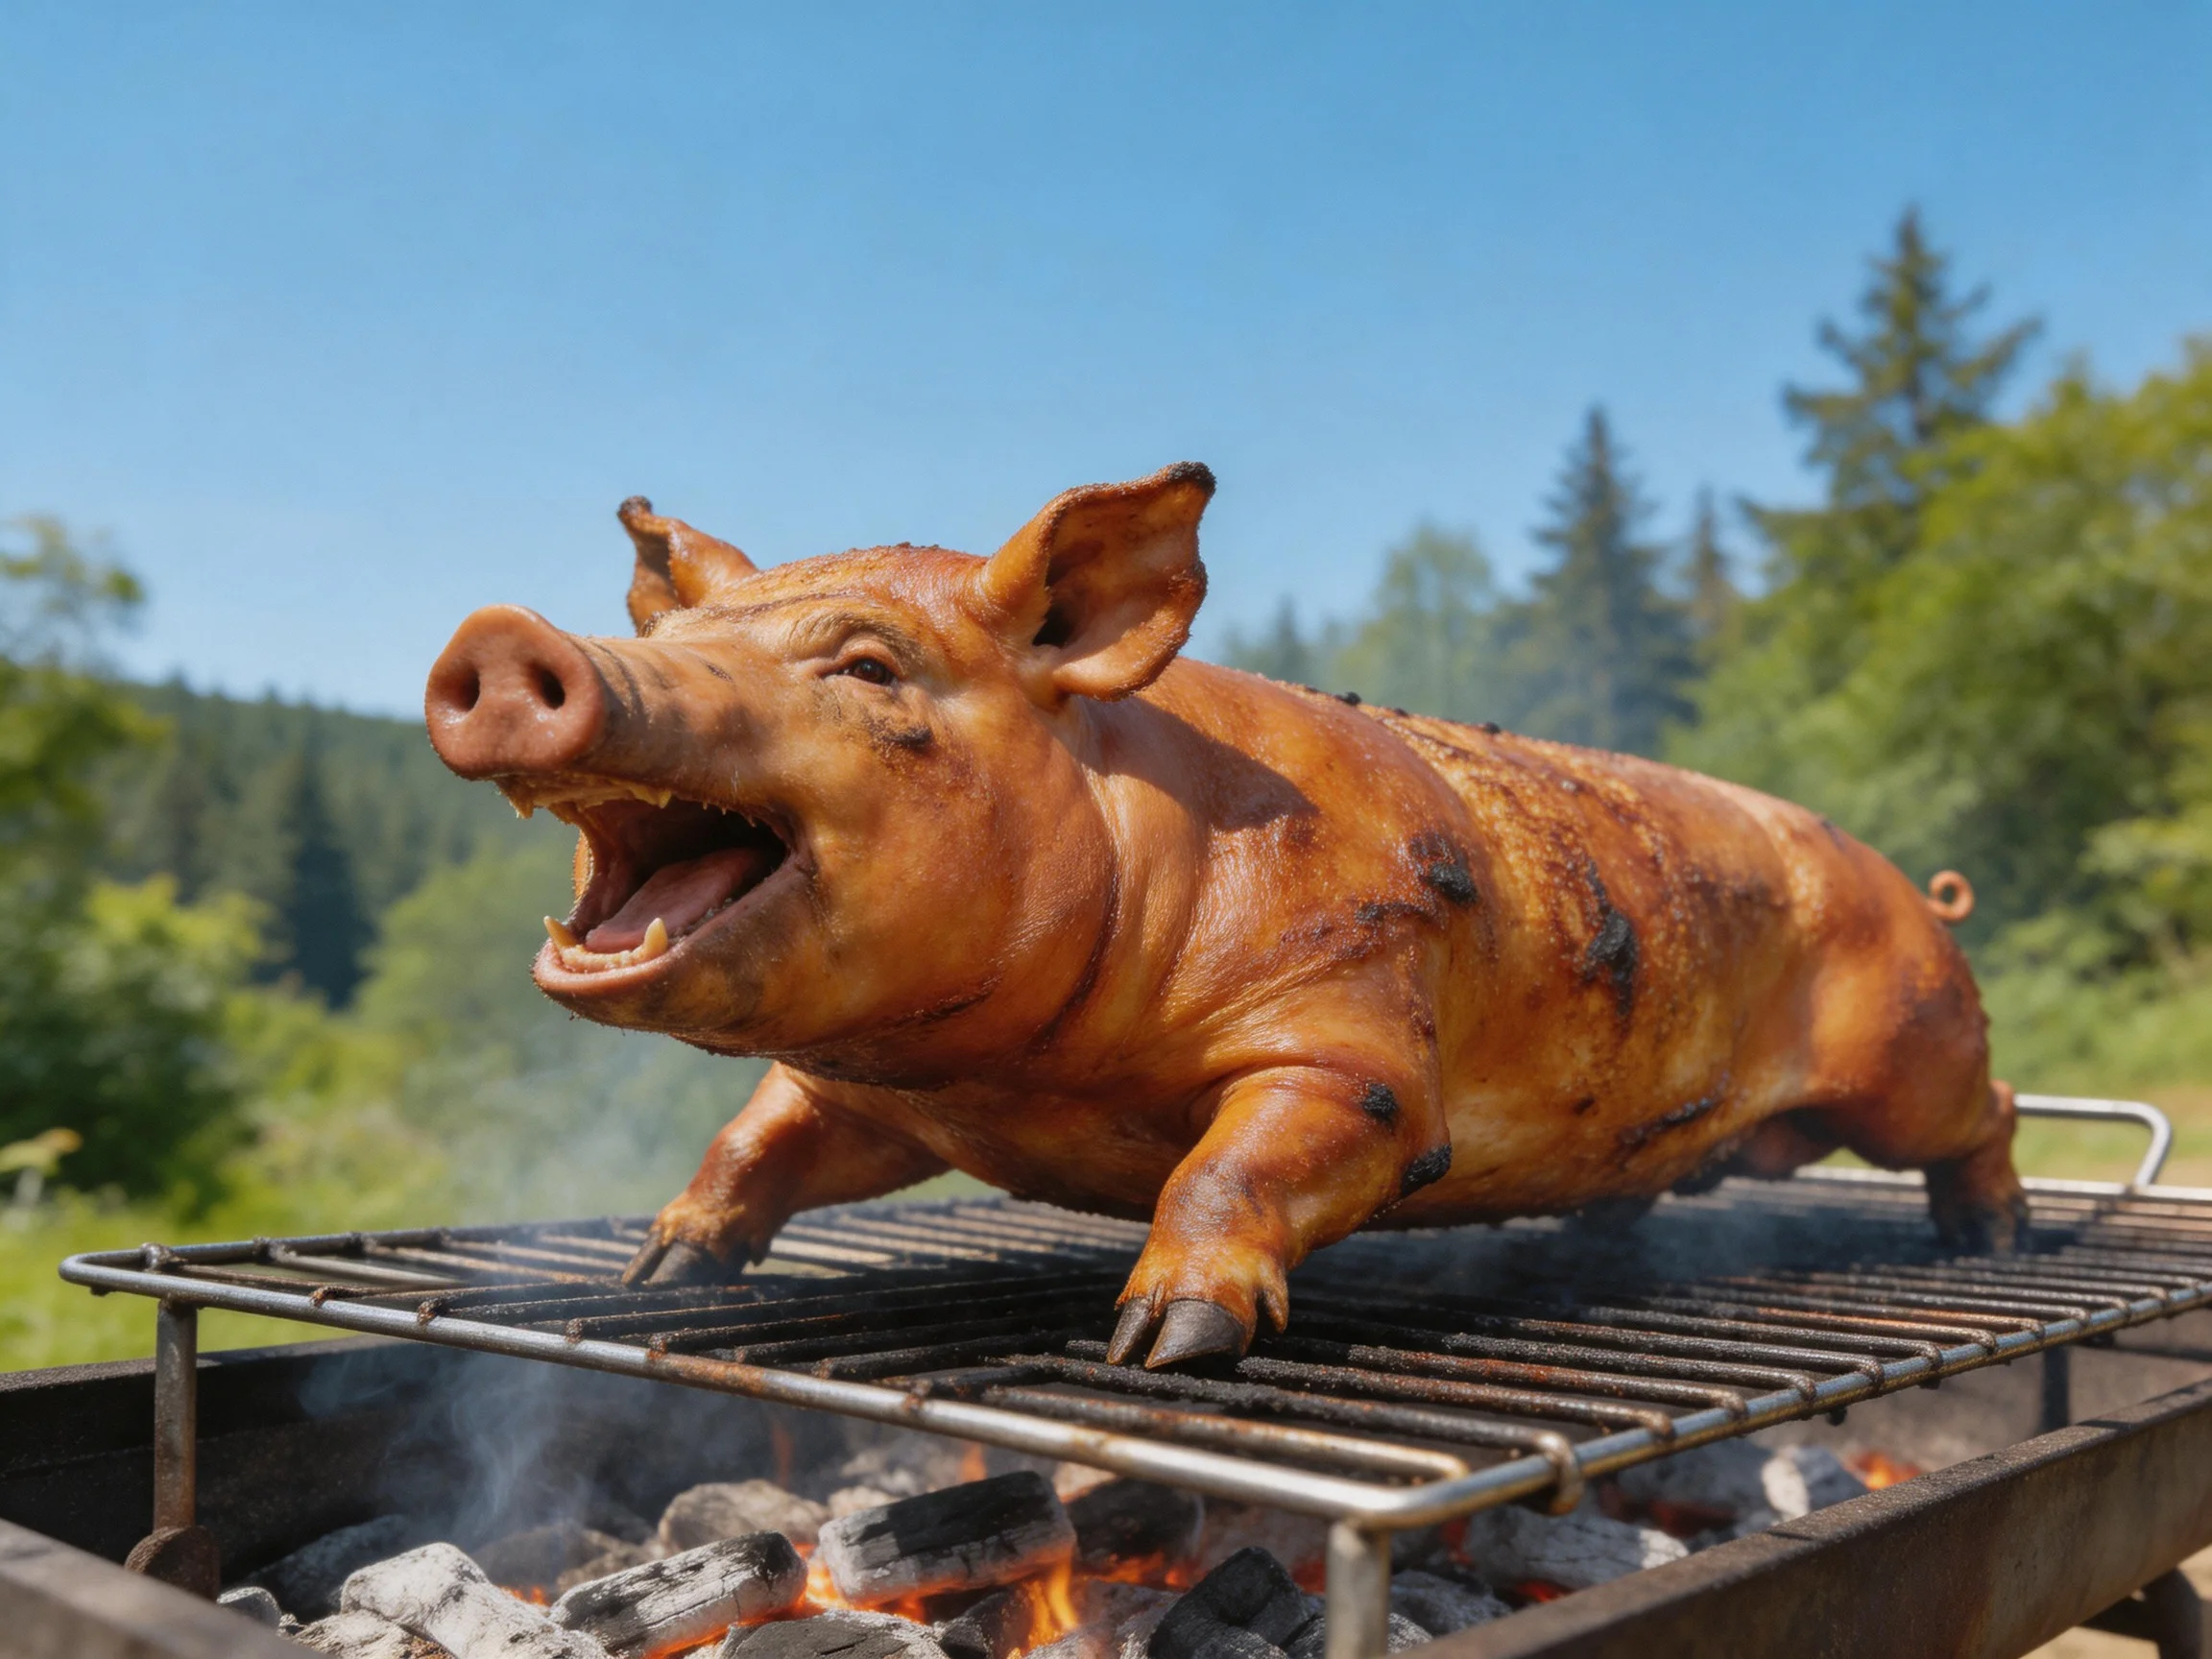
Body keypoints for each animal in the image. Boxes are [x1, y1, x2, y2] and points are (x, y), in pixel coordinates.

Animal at [423, 463, 2026, 1368]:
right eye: (686, 636)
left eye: (870, 669)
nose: (500, 636)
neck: (1027, 1082)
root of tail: (1914, 887)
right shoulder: (870, 1094)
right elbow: (761, 1134)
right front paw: (659, 1270)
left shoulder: (1355, 1035)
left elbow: (1240, 1164)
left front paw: (1154, 1349)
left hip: (1912, 1043)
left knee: (1990, 1110)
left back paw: (1989, 1245)